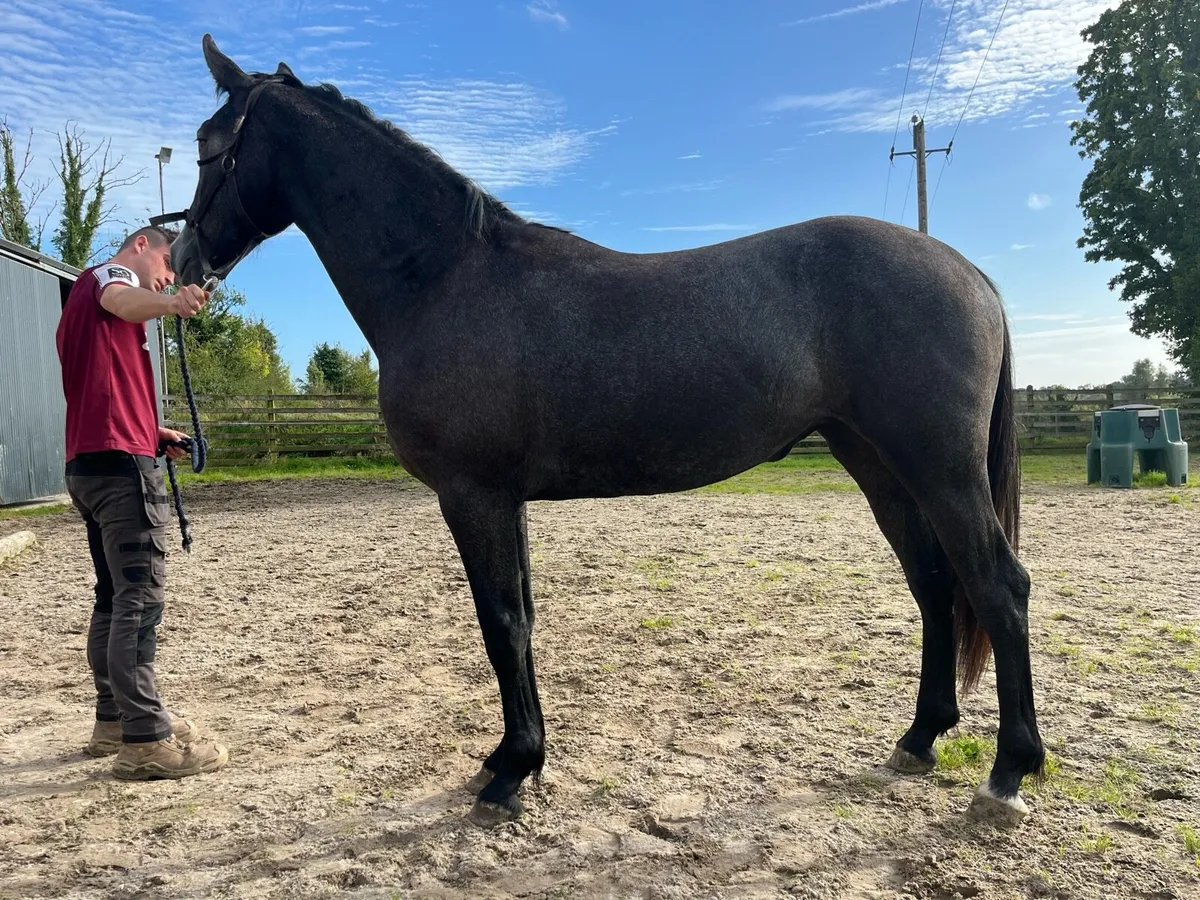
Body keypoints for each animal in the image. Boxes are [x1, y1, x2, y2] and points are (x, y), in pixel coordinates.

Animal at [168, 34, 1045, 829]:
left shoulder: (473, 495)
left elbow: (502, 624)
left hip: (939, 469)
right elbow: (521, 619)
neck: (445, 280)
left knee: (998, 586)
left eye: (211, 147)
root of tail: (967, 272)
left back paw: (1007, 775)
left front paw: (511, 774)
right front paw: (513, 757)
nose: (181, 261)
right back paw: (920, 739)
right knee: (934, 585)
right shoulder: (505, 500)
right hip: (880, 466)